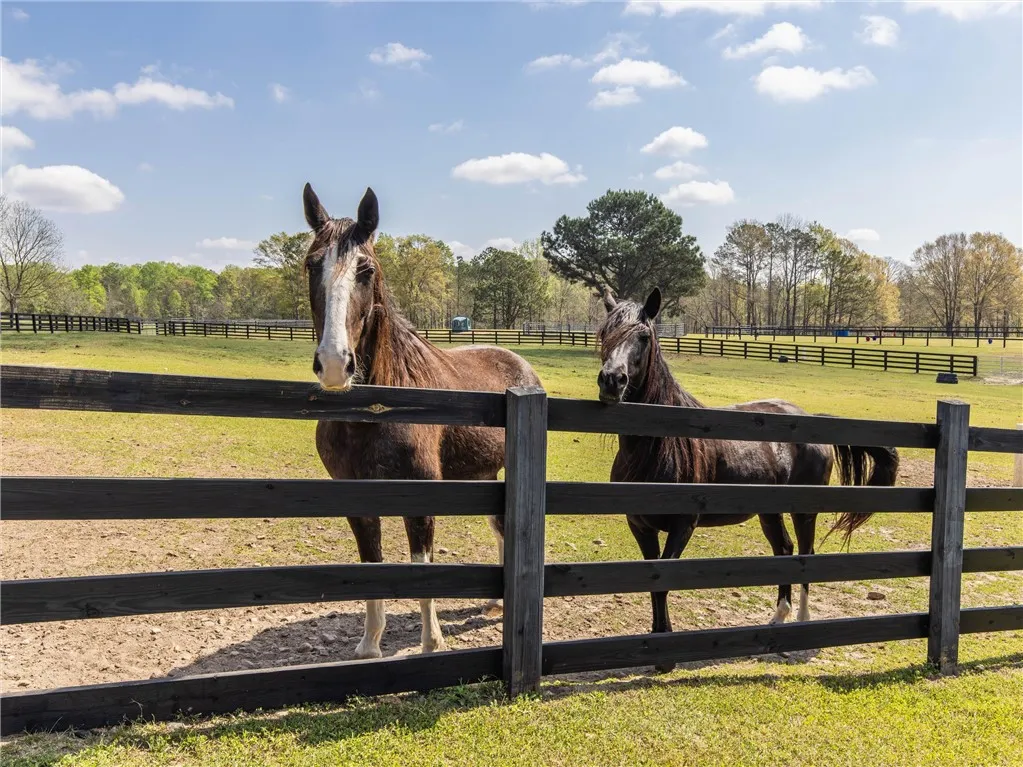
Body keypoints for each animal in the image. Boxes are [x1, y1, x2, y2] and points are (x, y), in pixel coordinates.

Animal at [302, 183, 543, 659]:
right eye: (311, 264)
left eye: (366, 270)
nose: (336, 363)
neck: (375, 414)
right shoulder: (357, 502)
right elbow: (372, 566)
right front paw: (369, 645)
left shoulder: (422, 499)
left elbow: (422, 567)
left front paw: (432, 643)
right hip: (486, 475)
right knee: (500, 527)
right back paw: (494, 600)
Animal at [595, 286, 899, 671]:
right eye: (605, 333)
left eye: (644, 337)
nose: (611, 380)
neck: (663, 444)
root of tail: (809, 417)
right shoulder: (640, 525)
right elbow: (652, 581)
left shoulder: (683, 525)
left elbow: (664, 580)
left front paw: (665, 657)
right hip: (770, 512)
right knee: (784, 551)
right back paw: (778, 619)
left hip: (804, 511)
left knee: (805, 555)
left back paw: (802, 624)